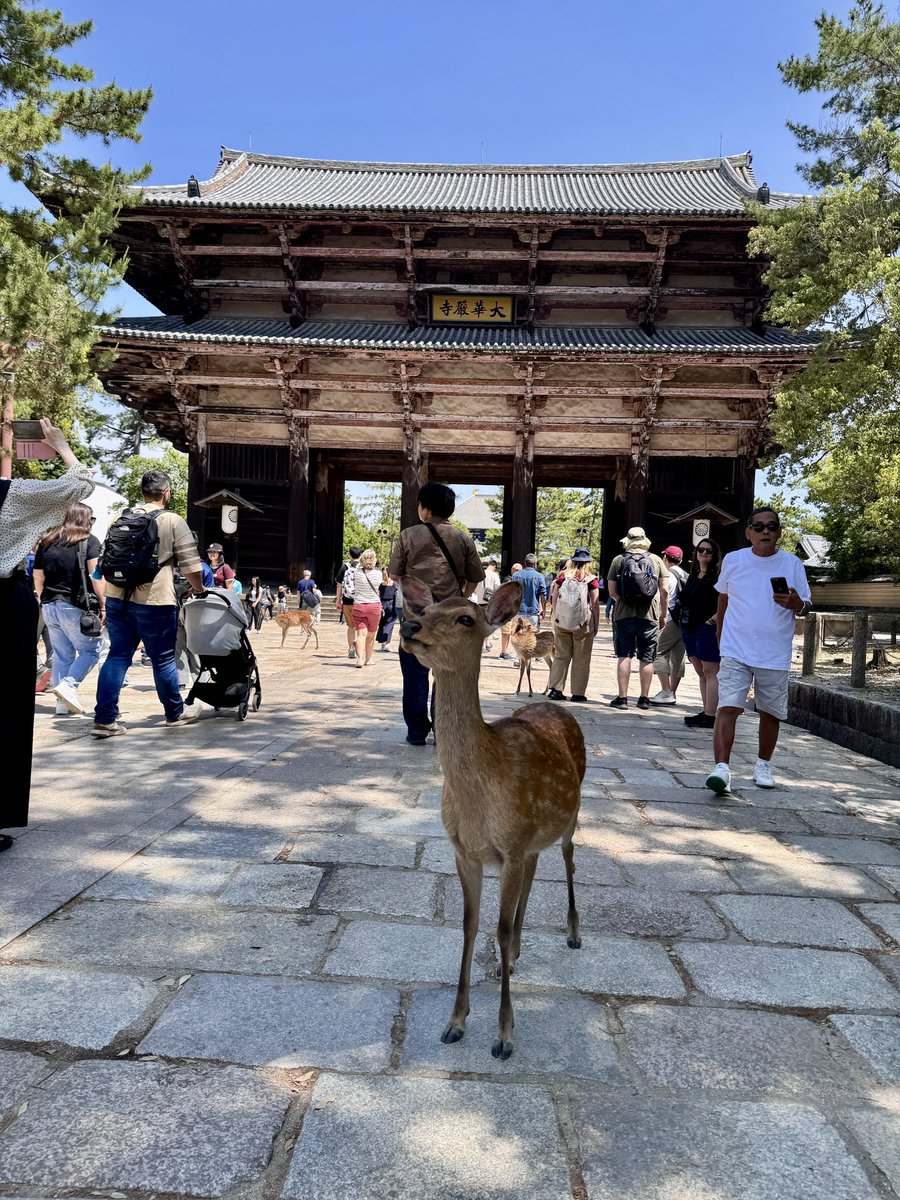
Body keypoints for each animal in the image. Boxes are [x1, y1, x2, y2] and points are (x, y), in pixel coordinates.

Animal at [399, 578, 585, 1060]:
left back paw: (573, 933)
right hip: (532, 839)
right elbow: (470, 926)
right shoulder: (468, 851)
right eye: (426, 609)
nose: (408, 625)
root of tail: (560, 708)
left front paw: (504, 1035)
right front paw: (455, 1022)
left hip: (571, 817)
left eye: (466, 618)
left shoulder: (511, 847)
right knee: (536, 875)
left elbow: (497, 931)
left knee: (569, 860)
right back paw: (516, 957)